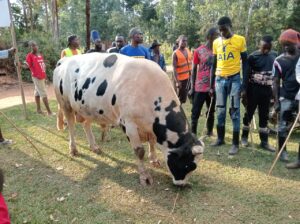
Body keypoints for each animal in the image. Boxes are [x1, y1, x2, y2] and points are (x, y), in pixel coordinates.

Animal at [53, 52, 204, 186]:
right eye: (188, 165)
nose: (181, 184)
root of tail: (64, 60)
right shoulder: (129, 123)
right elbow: (139, 152)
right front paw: (145, 176)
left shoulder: (150, 126)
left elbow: (152, 142)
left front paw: (154, 159)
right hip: (65, 104)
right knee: (71, 126)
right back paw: (73, 149)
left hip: (89, 107)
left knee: (86, 124)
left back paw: (94, 147)